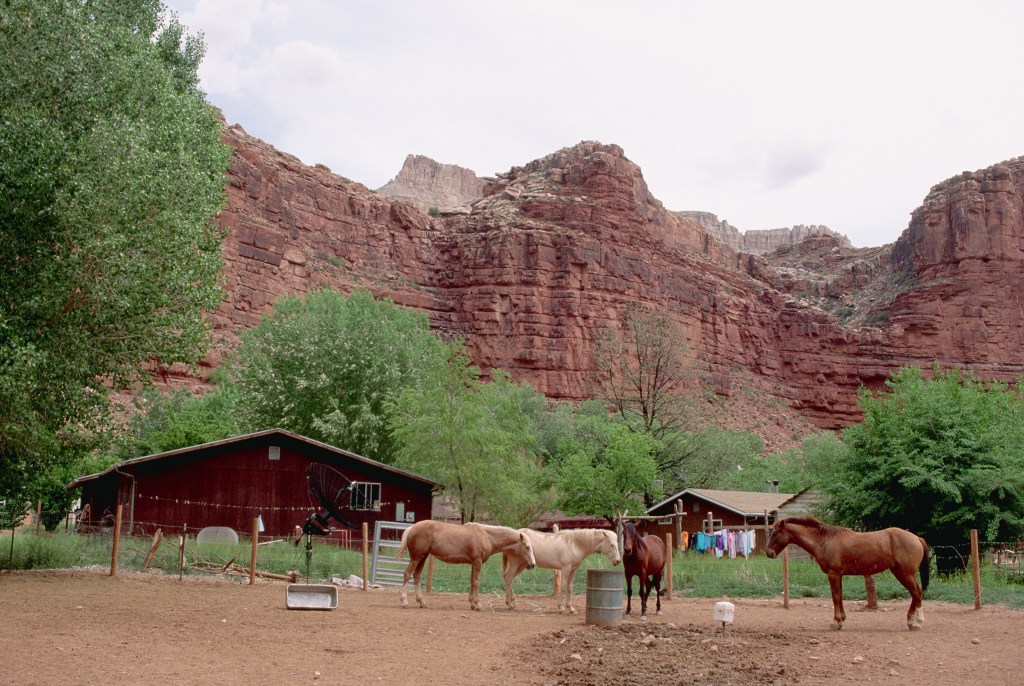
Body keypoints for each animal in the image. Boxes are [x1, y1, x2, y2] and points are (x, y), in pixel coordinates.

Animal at [393, 522, 536, 614]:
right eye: (527, 547)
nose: (532, 564)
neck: (486, 536)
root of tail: (412, 527)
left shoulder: (473, 563)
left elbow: (472, 582)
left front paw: (472, 604)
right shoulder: (477, 562)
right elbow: (477, 582)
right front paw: (478, 605)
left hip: (423, 558)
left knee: (416, 576)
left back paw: (422, 602)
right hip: (416, 557)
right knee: (407, 574)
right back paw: (405, 602)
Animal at [770, 516, 929, 634]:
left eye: (775, 533)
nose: (768, 552)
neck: (824, 541)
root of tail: (917, 538)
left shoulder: (833, 574)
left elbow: (835, 597)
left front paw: (836, 622)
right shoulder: (839, 575)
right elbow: (840, 596)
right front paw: (841, 620)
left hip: (905, 573)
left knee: (916, 592)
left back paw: (917, 622)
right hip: (901, 573)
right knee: (916, 593)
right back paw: (911, 622)